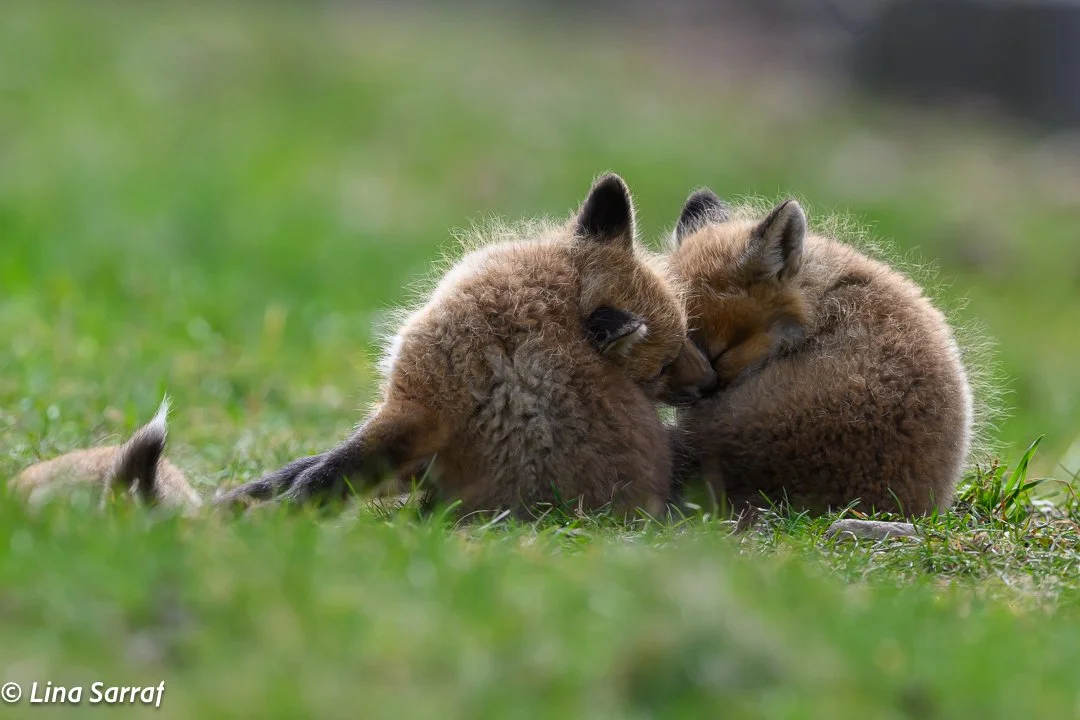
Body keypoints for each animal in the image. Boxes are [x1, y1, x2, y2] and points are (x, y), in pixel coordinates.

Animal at [216, 173, 716, 519]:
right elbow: (300, 468)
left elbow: (325, 473)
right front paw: (238, 498)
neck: (543, 296)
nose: (711, 382)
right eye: (665, 364)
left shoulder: (420, 403)